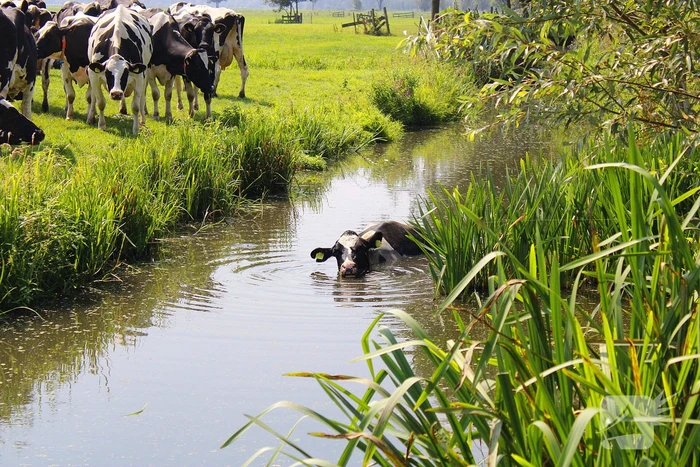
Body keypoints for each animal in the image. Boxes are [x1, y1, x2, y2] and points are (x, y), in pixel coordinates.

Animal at [86, 5, 152, 135]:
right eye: (107, 73)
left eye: (126, 73)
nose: (116, 94)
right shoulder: (94, 75)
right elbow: (100, 102)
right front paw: (101, 125)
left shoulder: (139, 76)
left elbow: (135, 106)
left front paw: (135, 129)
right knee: (93, 97)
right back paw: (91, 117)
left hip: (145, 72)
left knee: (142, 97)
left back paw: (142, 120)